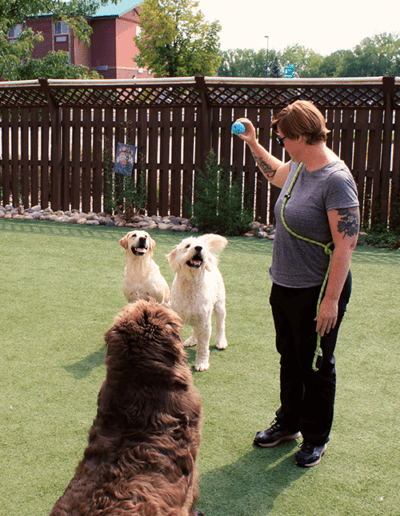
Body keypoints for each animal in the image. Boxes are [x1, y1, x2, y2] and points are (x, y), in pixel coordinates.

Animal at [166, 234, 228, 370]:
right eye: (187, 246)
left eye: (201, 247)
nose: (199, 248)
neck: (191, 284)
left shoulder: (205, 321)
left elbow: (203, 346)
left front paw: (202, 363)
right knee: (195, 328)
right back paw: (192, 340)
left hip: (219, 304)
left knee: (220, 324)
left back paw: (221, 341)